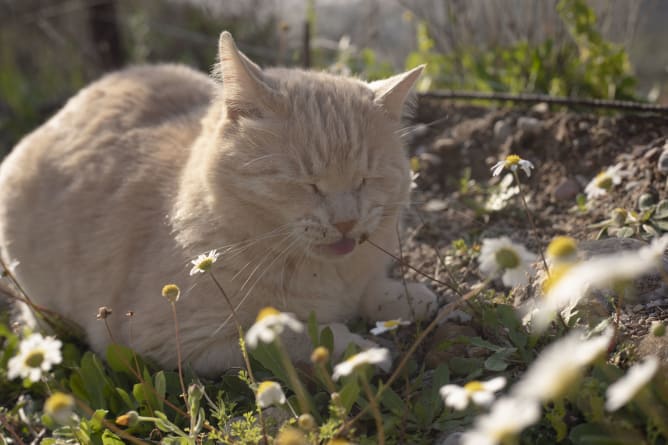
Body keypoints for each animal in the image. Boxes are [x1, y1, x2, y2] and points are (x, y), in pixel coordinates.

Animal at [0, 31, 438, 374]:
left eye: (368, 179)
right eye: (306, 184)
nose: (346, 222)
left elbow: (370, 291)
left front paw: (406, 296)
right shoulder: (170, 340)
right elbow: (295, 334)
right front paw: (360, 351)